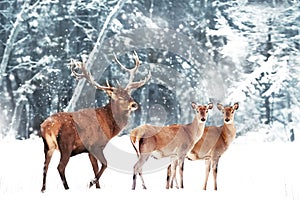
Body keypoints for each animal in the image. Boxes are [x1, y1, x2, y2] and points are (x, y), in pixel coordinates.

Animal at [40, 51, 150, 192]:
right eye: (119, 97)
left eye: (128, 94)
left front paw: (97, 186)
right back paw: (67, 188)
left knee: (45, 166)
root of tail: (47, 126)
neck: (109, 126)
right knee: (60, 167)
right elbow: (104, 164)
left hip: (47, 146)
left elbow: (95, 168)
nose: (134, 104)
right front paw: (91, 182)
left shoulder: (89, 150)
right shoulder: (95, 145)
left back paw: (43, 189)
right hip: (66, 144)